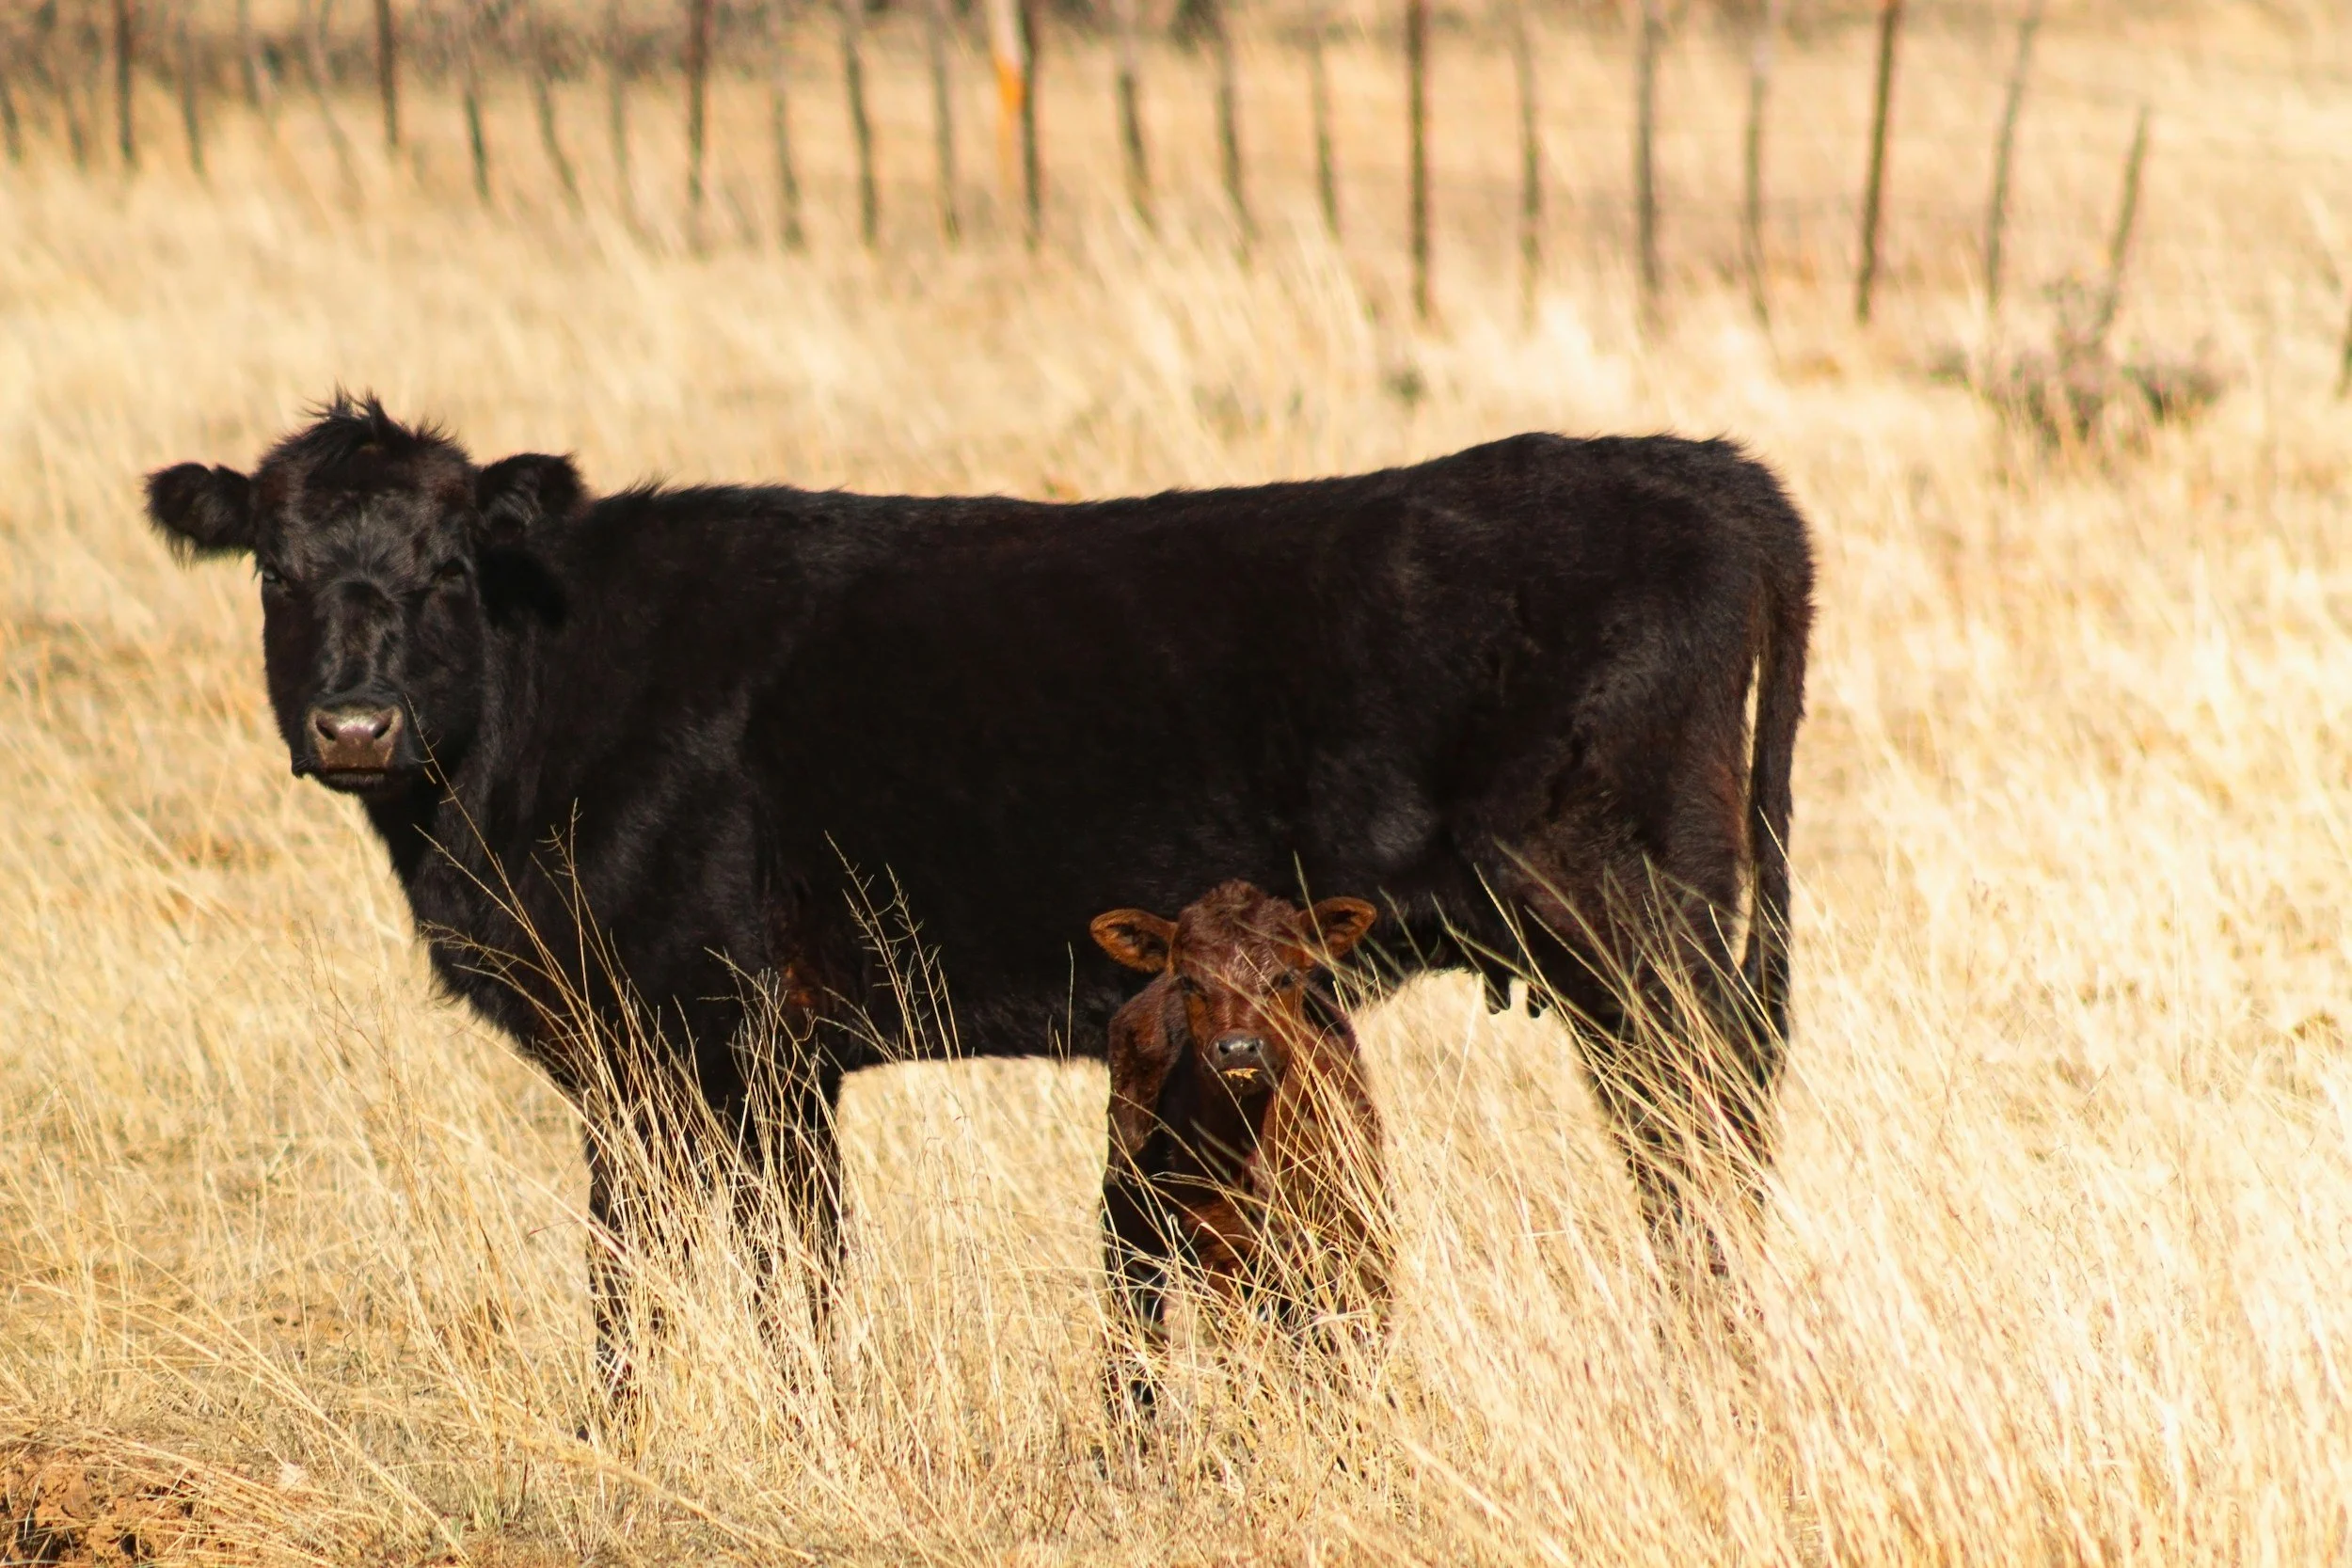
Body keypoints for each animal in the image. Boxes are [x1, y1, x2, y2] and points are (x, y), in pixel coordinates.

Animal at [1091, 882, 1392, 1413]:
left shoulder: (1351, 1232)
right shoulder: (1220, 1250)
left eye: (1285, 976)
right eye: (1190, 981)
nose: (1238, 1050)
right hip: (1127, 1224)